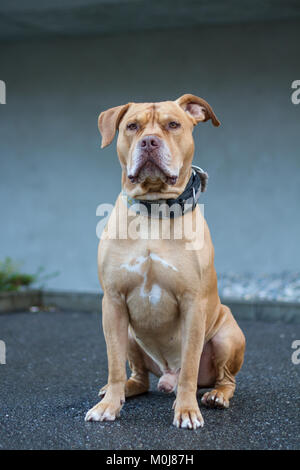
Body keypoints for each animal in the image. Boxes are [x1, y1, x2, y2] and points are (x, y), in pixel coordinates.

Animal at [85, 93, 246, 428]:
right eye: (132, 126)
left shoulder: (193, 304)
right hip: (130, 334)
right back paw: (122, 390)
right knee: (138, 376)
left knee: (223, 379)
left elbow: (190, 367)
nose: (149, 142)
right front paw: (108, 406)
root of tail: (165, 376)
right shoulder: (113, 303)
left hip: (228, 334)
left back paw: (216, 396)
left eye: (173, 125)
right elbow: (114, 364)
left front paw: (186, 411)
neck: (154, 209)